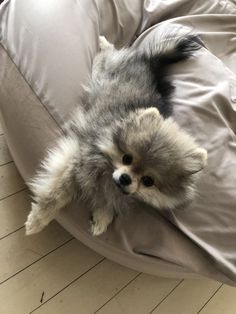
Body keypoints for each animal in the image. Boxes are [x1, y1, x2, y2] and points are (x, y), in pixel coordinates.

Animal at [24, 34, 207, 236]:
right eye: (127, 158)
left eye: (148, 181)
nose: (125, 178)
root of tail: (149, 63)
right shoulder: (76, 160)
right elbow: (56, 194)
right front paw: (37, 220)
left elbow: (109, 200)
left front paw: (102, 218)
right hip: (104, 72)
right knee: (107, 55)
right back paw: (103, 43)